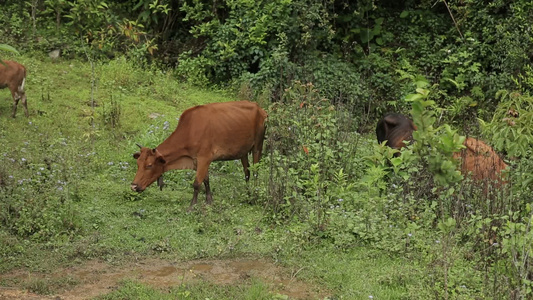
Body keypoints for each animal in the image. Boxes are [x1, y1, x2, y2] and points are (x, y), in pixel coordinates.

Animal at [131, 101, 268, 209]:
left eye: (149, 165)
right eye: (138, 164)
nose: (133, 186)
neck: (190, 130)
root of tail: (260, 109)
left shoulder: (204, 158)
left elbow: (197, 183)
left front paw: (192, 206)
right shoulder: (198, 160)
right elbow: (206, 180)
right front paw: (209, 201)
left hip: (258, 146)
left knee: (256, 172)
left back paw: (254, 195)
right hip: (243, 151)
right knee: (247, 172)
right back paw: (248, 195)